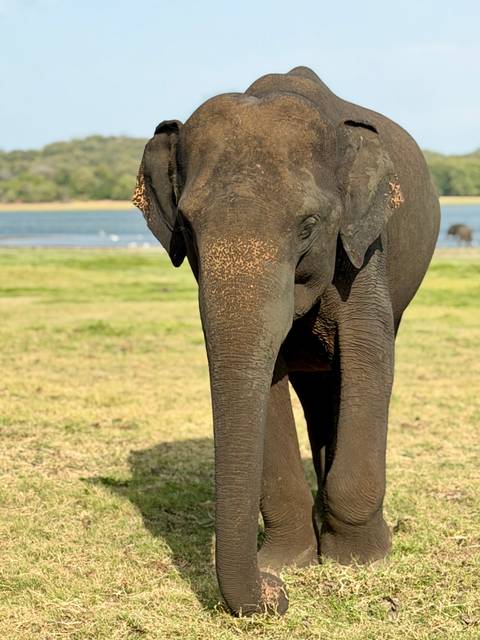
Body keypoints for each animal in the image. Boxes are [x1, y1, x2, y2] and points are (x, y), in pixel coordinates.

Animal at [132, 66, 440, 616]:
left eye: (308, 225)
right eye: (185, 225)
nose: (275, 596)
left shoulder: (364, 248)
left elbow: (369, 356)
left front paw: (362, 559)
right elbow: (267, 379)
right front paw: (287, 563)